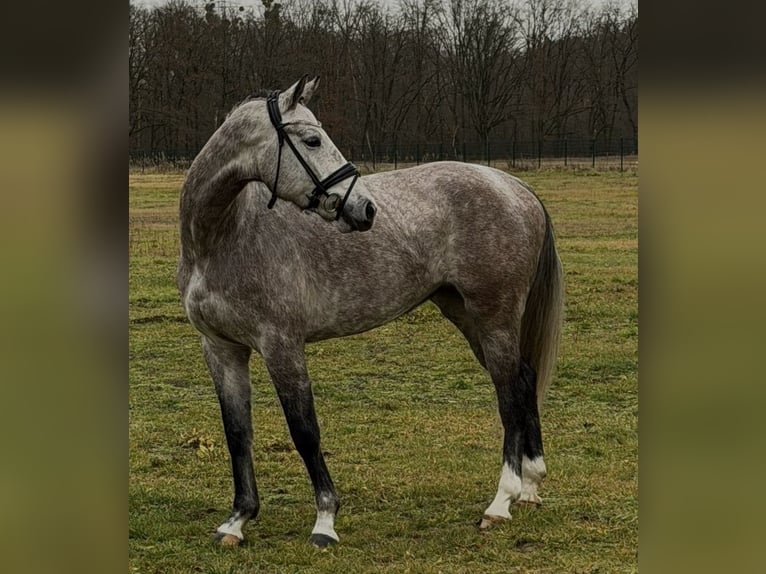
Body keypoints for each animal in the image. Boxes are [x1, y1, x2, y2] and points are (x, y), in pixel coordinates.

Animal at [177, 76, 563, 548]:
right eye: (312, 139)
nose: (364, 209)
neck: (225, 236)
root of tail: (513, 185)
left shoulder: (281, 345)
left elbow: (304, 430)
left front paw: (325, 521)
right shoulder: (221, 348)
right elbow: (237, 432)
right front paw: (237, 520)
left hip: (494, 317)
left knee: (509, 393)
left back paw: (500, 502)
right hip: (468, 315)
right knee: (523, 380)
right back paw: (530, 486)